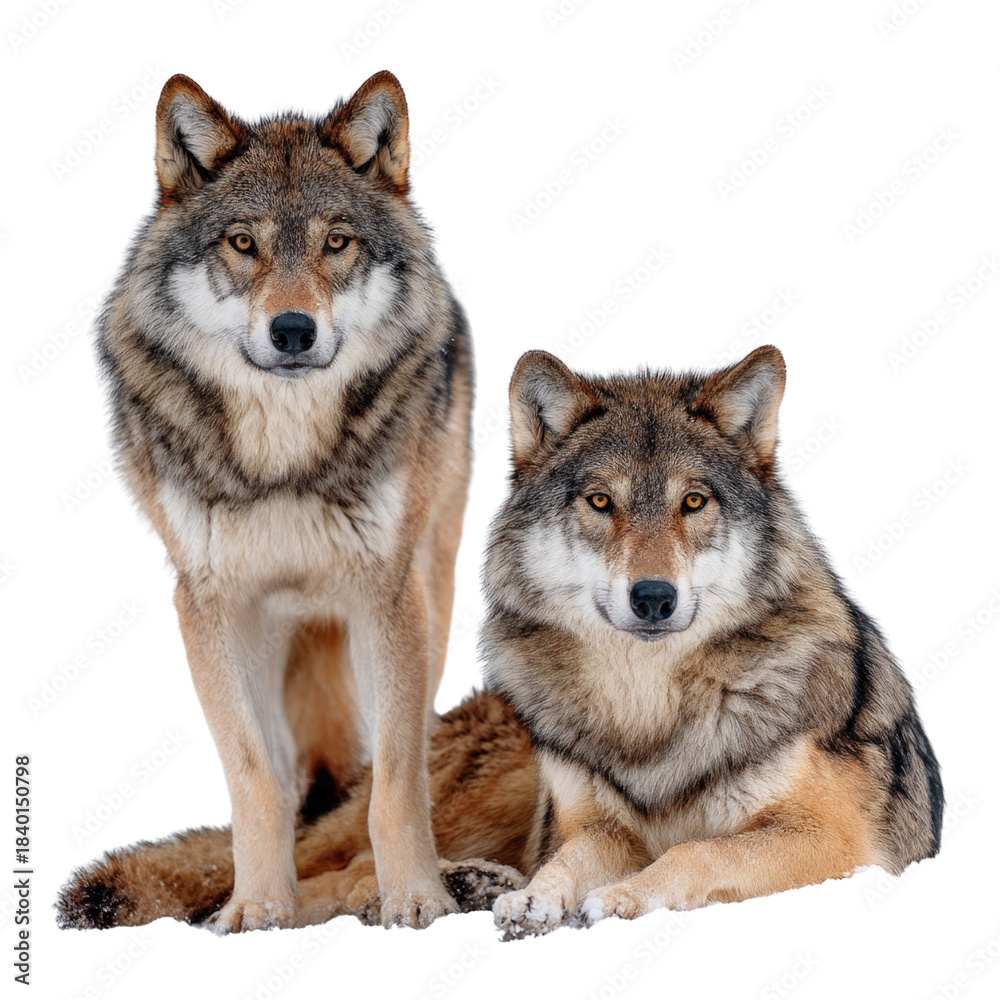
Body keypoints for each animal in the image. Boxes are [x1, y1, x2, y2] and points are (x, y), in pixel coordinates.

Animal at [57, 347, 942, 934]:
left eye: (694, 502)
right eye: (599, 501)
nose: (653, 597)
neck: (649, 710)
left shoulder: (834, 839)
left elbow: (695, 856)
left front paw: (616, 898)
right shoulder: (594, 826)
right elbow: (569, 861)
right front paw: (540, 897)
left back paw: (464, 886)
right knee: (328, 870)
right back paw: (416, 894)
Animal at [81, 71, 475, 931]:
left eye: (336, 243)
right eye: (242, 243)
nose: (293, 330)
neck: (283, 455)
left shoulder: (387, 597)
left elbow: (396, 778)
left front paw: (416, 899)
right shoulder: (211, 605)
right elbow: (255, 775)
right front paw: (258, 907)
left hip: (431, 584)